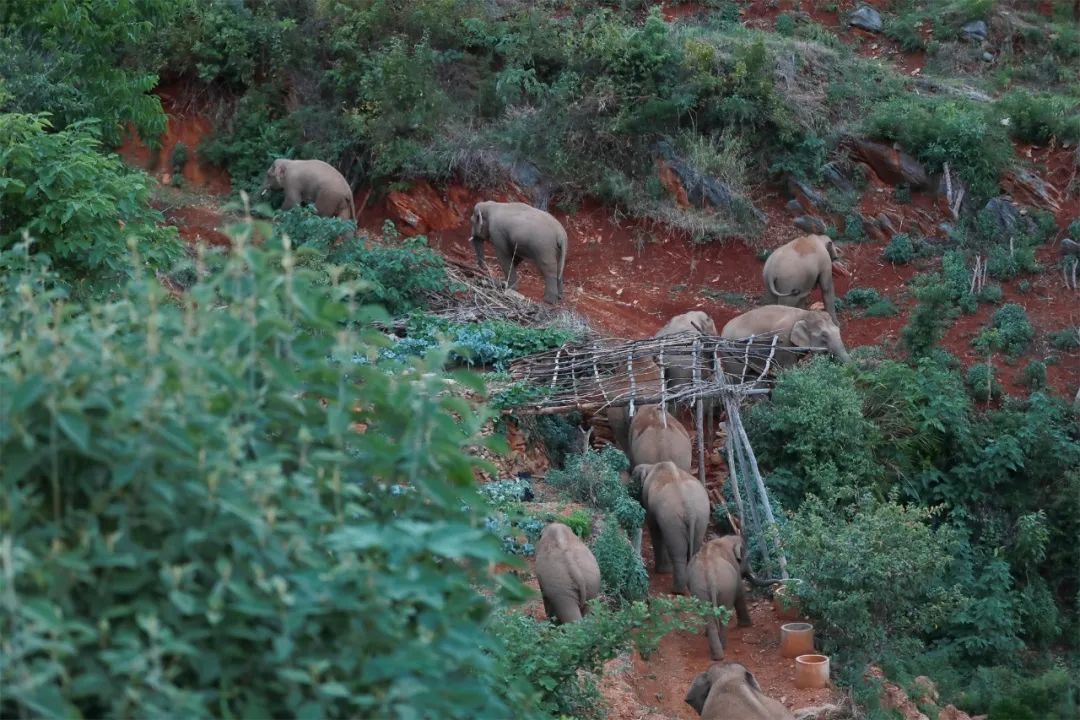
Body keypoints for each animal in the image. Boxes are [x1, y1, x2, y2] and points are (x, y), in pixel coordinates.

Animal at [630, 464, 712, 595]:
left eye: (632, 478)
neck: (651, 466)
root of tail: (690, 510)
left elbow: (655, 529)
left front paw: (662, 571)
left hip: (672, 519)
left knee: (678, 552)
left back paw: (677, 590)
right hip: (702, 517)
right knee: (694, 550)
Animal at [717, 304, 851, 382]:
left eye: (838, 329)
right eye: (824, 335)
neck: (803, 314)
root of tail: (722, 331)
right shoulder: (783, 341)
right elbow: (788, 368)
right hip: (731, 354)